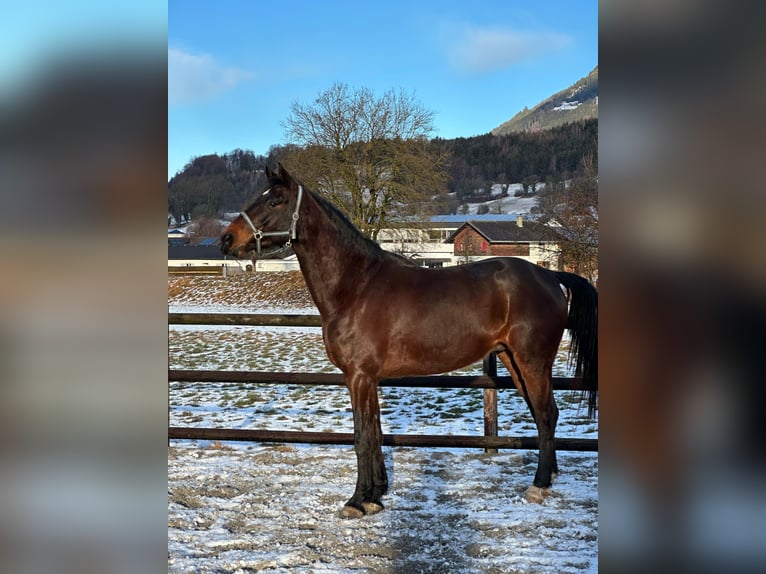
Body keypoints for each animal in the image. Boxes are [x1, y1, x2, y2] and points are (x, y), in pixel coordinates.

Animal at [221, 163, 597, 518]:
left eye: (275, 200)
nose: (227, 238)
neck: (356, 286)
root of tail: (548, 274)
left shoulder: (358, 376)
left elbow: (361, 437)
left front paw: (356, 502)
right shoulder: (367, 378)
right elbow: (374, 433)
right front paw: (375, 496)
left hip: (532, 360)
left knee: (546, 414)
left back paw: (539, 485)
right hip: (512, 359)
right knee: (544, 413)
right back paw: (550, 476)